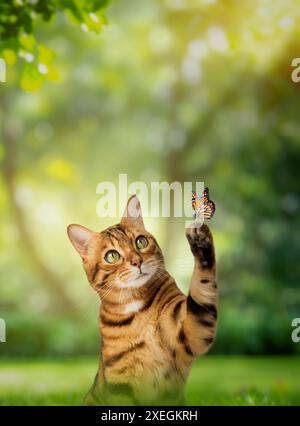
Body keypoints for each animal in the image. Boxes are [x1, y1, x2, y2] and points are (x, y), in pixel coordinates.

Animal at [67, 195, 218, 404]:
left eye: (141, 241)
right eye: (112, 256)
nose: (137, 261)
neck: (137, 307)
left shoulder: (192, 331)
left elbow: (202, 284)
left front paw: (201, 242)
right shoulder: (120, 383)